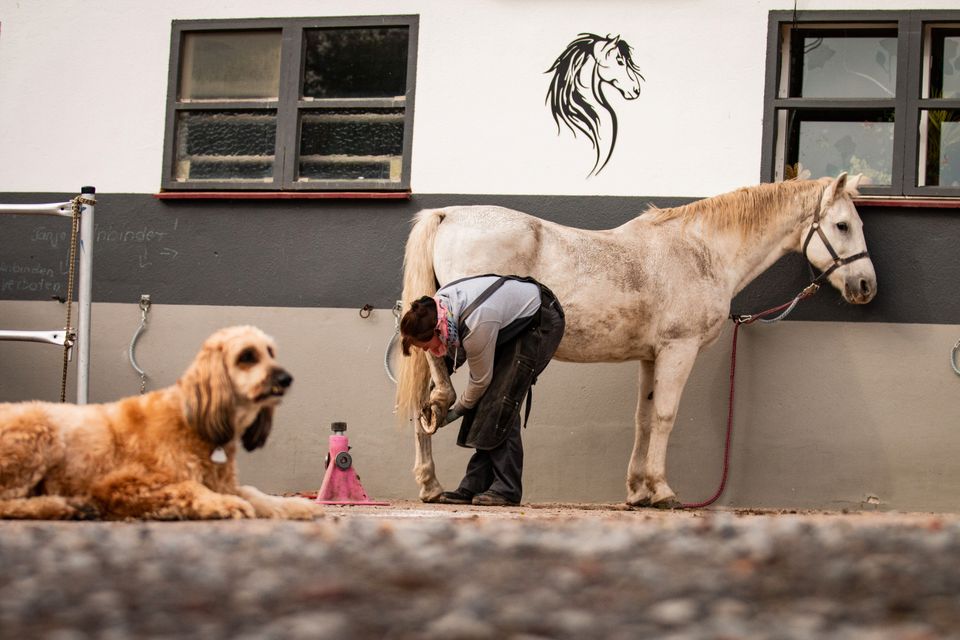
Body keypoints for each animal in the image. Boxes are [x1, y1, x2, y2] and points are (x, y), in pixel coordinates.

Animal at [0, 324, 322, 520]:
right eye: (247, 356)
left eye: (271, 353)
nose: (287, 379)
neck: (192, 423)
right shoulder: (123, 485)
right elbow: (188, 487)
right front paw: (224, 505)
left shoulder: (225, 483)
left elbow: (259, 495)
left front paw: (298, 505)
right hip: (40, 431)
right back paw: (63, 506)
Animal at [396, 172, 876, 508]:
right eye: (842, 225)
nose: (866, 285)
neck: (702, 252)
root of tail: (449, 214)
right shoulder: (679, 350)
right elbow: (665, 417)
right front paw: (662, 491)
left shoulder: (651, 357)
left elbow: (643, 420)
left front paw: (637, 492)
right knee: (441, 378)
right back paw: (444, 409)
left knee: (422, 401)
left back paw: (433, 484)